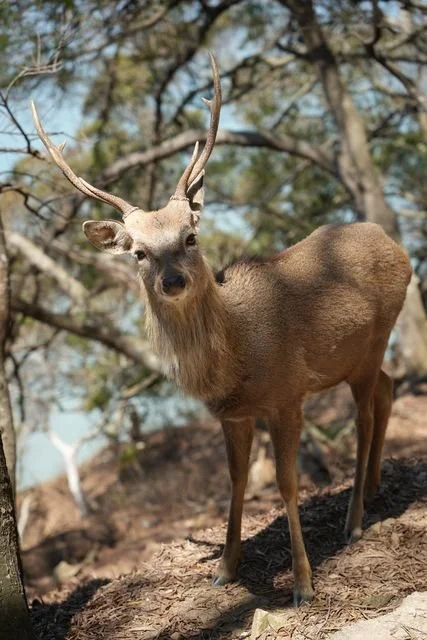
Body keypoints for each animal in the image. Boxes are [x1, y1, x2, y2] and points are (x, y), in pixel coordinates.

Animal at [31, 54, 412, 605]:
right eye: (138, 252)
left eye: (190, 236)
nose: (172, 279)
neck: (238, 357)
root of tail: (397, 245)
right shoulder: (232, 414)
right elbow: (235, 482)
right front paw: (226, 568)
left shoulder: (287, 395)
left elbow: (287, 484)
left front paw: (302, 584)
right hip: (359, 356)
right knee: (387, 388)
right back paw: (376, 487)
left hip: (377, 338)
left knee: (364, 414)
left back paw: (355, 519)